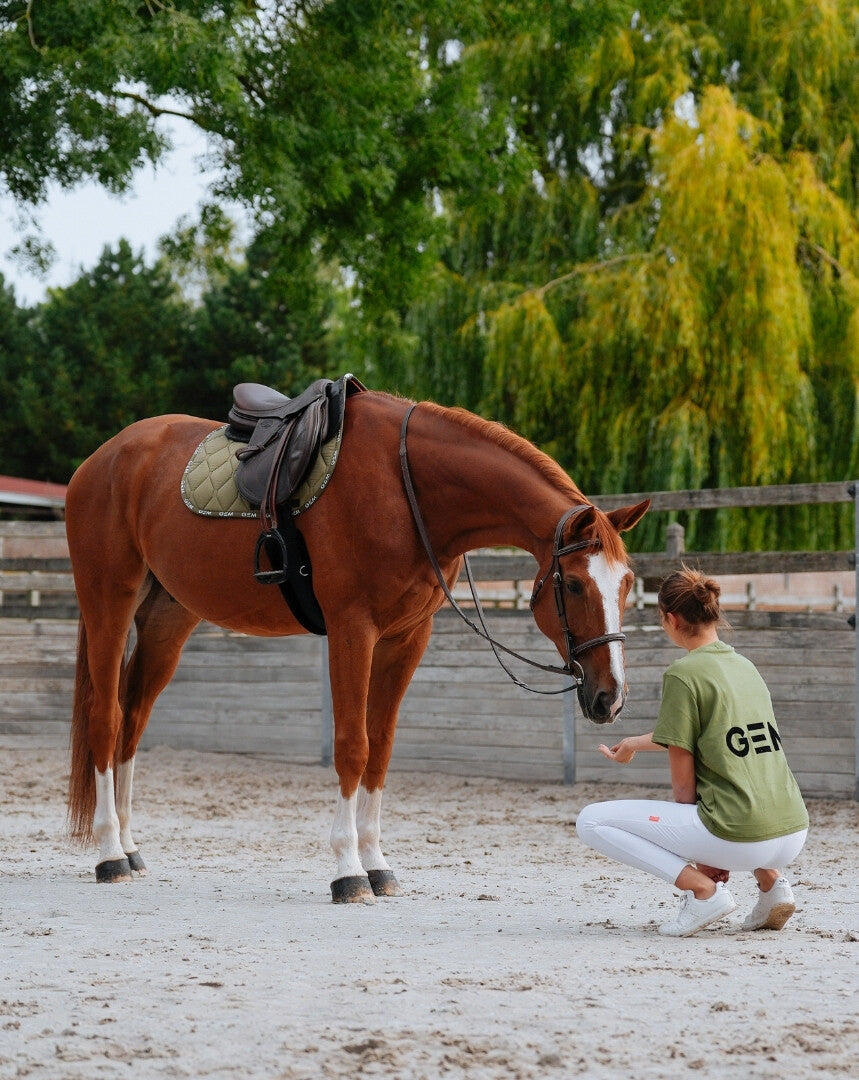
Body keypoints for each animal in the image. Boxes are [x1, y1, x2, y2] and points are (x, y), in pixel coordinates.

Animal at [65, 388, 649, 902]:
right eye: (574, 584)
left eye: (626, 583)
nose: (611, 698)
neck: (409, 489)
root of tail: (101, 459)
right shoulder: (352, 629)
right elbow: (352, 745)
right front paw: (348, 870)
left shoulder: (407, 637)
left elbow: (381, 747)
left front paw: (378, 865)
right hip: (109, 603)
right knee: (106, 719)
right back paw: (110, 855)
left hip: (168, 619)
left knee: (133, 722)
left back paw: (131, 848)